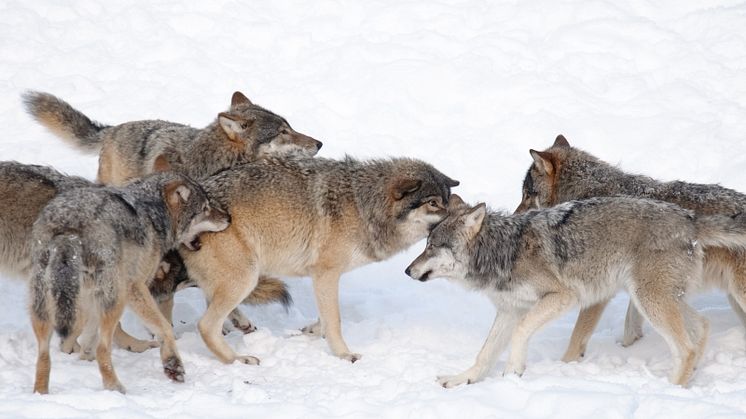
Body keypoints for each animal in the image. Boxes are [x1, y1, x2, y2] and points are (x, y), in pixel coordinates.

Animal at [30, 171, 230, 394]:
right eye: (205, 208)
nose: (229, 218)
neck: (152, 214)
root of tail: (70, 226)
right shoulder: (136, 286)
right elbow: (164, 328)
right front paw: (172, 365)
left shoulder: (92, 294)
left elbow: (88, 335)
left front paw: (82, 356)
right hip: (115, 298)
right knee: (103, 348)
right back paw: (115, 387)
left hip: (45, 305)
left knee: (44, 354)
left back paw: (41, 393)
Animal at [180, 157, 456, 364]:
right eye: (433, 203)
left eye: (446, 200)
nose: (455, 216)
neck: (363, 206)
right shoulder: (326, 273)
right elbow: (335, 320)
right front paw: (344, 354)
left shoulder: (323, 278)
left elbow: (325, 316)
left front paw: (313, 331)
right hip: (245, 277)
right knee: (206, 325)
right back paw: (238, 359)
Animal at [402, 195, 746, 386]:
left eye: (432, 247)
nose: (407, 270)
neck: (505, 251)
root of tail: (690, 219)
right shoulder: (510, 310)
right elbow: (484, 353)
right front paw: (464, 379)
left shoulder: (563, 297)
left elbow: (520, 334)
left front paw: (513, 372)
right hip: (656, 298)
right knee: (702, 326)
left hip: (651, 300)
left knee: (685, 347)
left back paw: (669, 390)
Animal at [516, 136, 746, 362]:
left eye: (527, 194)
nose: (516, 216)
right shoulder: (638, 287)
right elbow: (631, 326)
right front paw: (629, 349)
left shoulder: (602, 291)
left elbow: (577, 336)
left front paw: (566, 365)